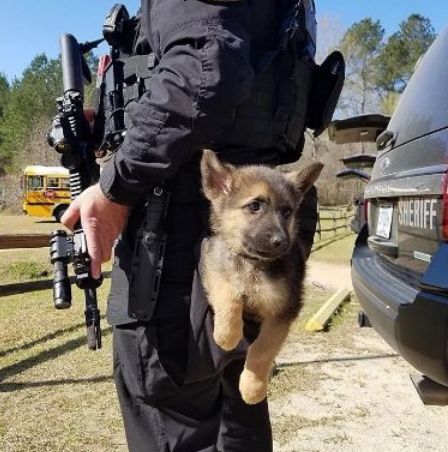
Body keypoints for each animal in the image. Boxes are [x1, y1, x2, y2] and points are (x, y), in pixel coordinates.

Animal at [200, 150, 322, 404]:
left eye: (287, 212)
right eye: (254, 206)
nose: (280, 242)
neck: (252, 265)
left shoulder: (283, 312)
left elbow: (262, 349)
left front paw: (253, 388)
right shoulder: (213, 266)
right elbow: (228, 296)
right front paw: (227, 336)